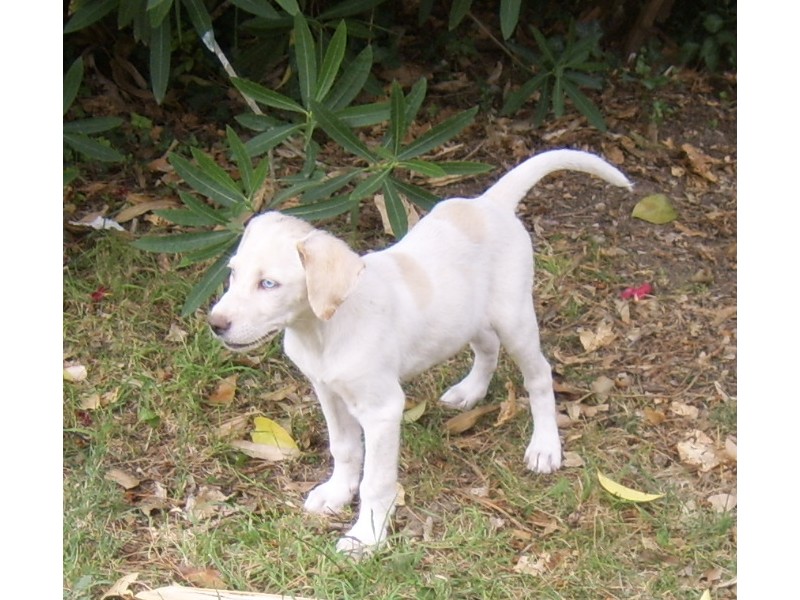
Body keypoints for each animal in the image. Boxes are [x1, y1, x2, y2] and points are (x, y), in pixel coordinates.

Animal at [206, 149, 632, 556]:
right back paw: (470, 392)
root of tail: (488, 203)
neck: (323, 330)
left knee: (539, 376)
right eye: (232, 273)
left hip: (515, 319)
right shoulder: (327, 391)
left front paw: (366, 538)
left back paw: (544, 447)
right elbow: (343, 448)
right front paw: (336, 493)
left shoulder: (382, 410)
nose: (215, 324)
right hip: (467, 315)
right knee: (487, 347)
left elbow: (376, 482)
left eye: (269, 284)